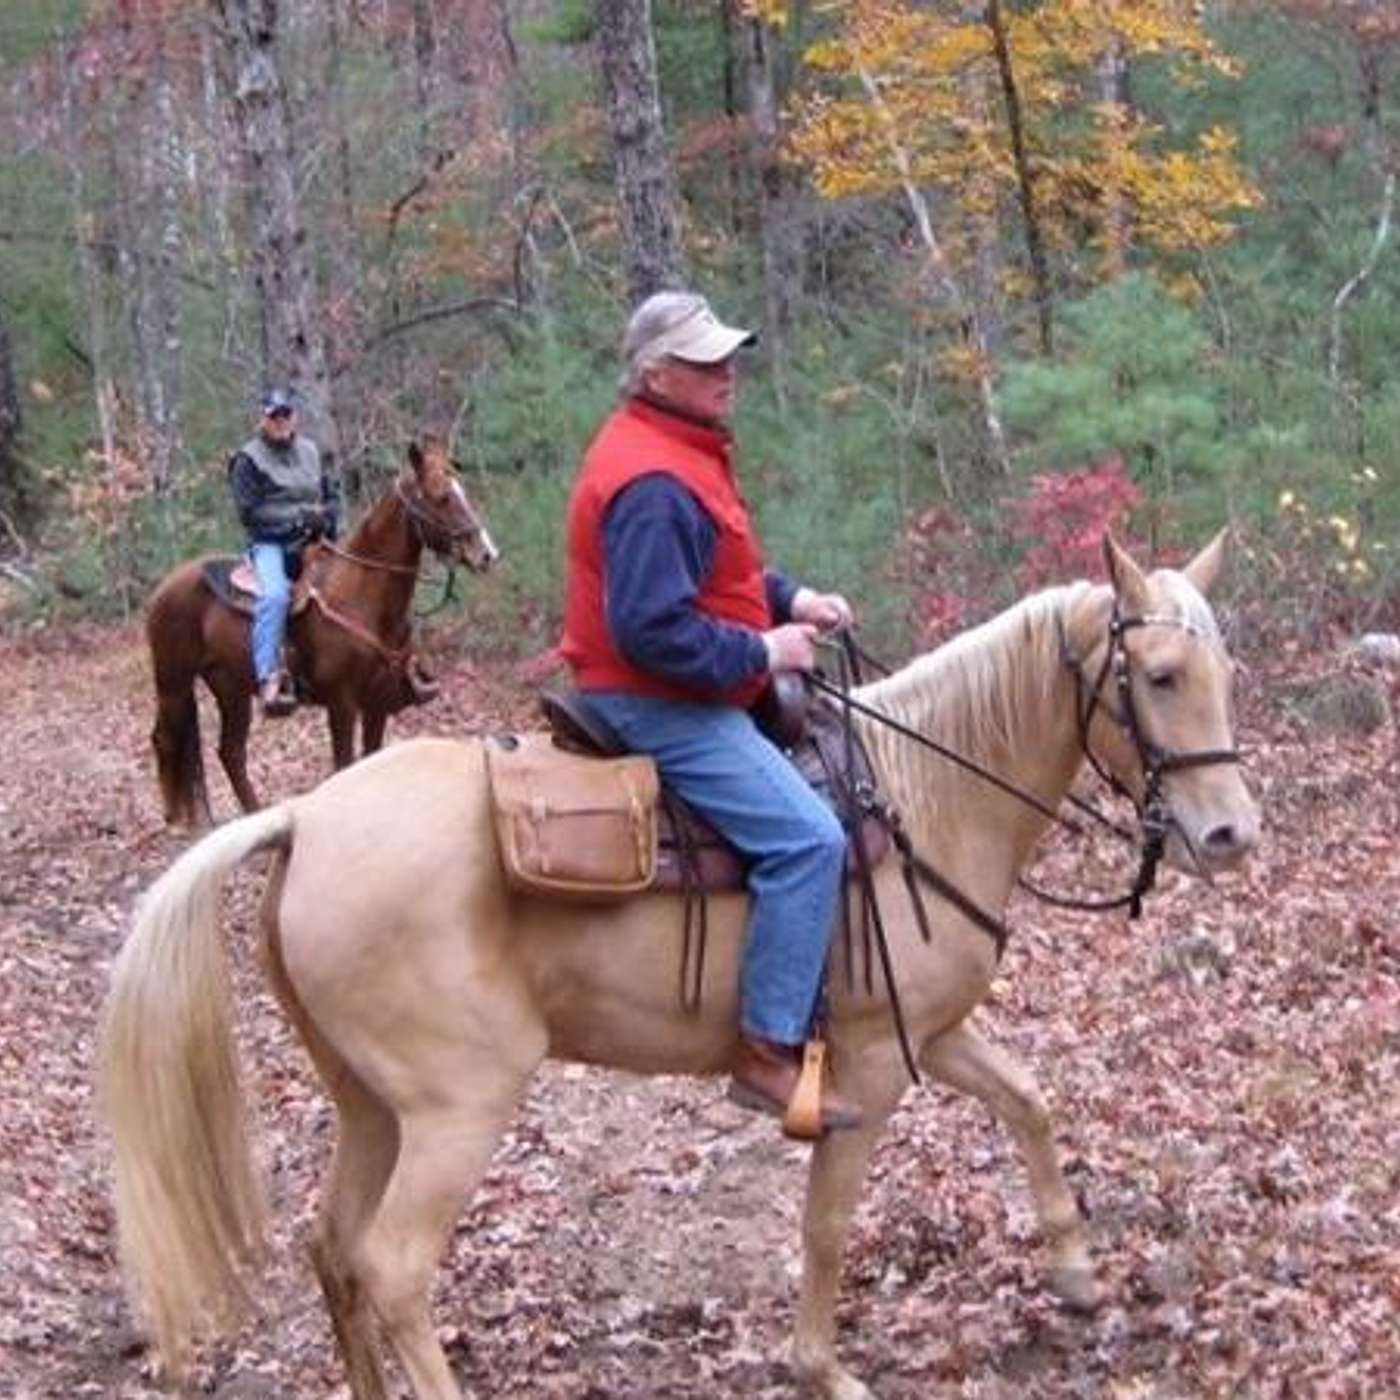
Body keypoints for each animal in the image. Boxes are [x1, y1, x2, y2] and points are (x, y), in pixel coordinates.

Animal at [99, 533, 1259, 1400]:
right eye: (1159, 677)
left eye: (1224, 677)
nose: (1230, 836)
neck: (916, 796)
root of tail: (304, 819)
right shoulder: (869, 1066)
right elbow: (827, 1223)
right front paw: (821, 1366)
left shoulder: (931, 1033)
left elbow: (1028, 1102)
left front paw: (1074, 1270)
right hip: (453, 1106)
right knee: (391, 1267)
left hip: (370, 1104)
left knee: (334, 1248)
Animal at [144, 435, 498, 826]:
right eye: (441, 497)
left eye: (461, 489)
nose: (486, 554)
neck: (362, 597)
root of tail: (163, 588)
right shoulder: (342, 704)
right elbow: (344, 765)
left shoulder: (377, 703)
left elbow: (370, 761)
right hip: (173, 681)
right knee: (165, 738)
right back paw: (180, 821)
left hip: (230, 687)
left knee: (230, 752)